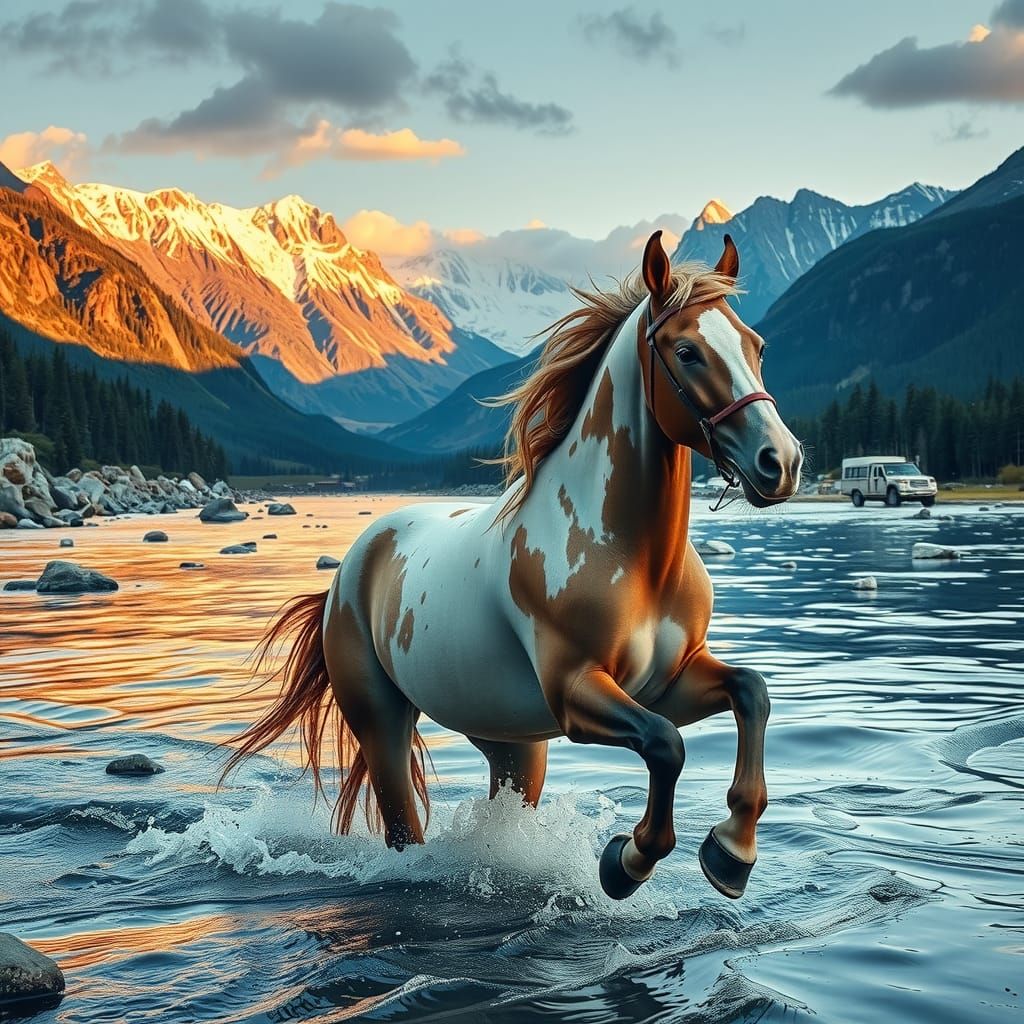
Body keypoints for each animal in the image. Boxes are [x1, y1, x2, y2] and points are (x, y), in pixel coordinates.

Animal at [223, 230, 803, 901]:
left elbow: (751, 692)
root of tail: (348, 571)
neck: (634, 561)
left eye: (756, 346)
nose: (780, 462)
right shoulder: (577, 692)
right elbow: (666, 745)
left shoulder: (669, 683)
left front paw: (732, 853)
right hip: (381, 721)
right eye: (687, 351)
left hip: (512, 742)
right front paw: (626, 861)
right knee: (403, 826)